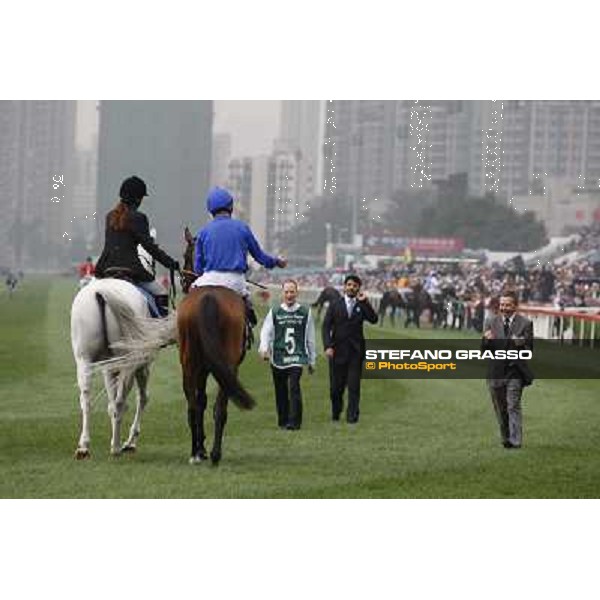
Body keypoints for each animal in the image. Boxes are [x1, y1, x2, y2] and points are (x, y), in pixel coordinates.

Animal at [70, 278, 175, 460]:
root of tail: (101, 291)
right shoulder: (142, 365)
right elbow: (142, 398)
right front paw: (130, 441)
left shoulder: (109, 366)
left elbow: (110, 402)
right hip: (128, 363)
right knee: (121, 402)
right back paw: (117, 447)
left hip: (84, 360)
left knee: (87, 401)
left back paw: (84, 447)